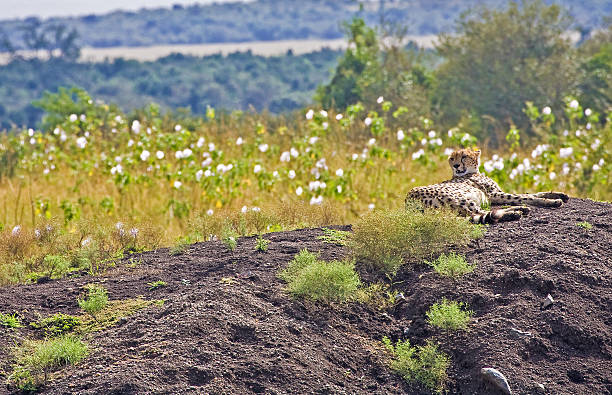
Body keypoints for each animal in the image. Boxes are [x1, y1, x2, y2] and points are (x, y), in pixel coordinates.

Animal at [406, 148, 568, 224]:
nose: (456, 165)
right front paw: (552, 201)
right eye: (452, 158)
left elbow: (530, 194)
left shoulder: (495, 194)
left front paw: (558, 194)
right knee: (481, 214)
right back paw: (516, 212)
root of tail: (408, 200)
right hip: (462, 200)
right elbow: (524, 197)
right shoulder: (493, 194)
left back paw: (520, 210)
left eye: (464, 156)